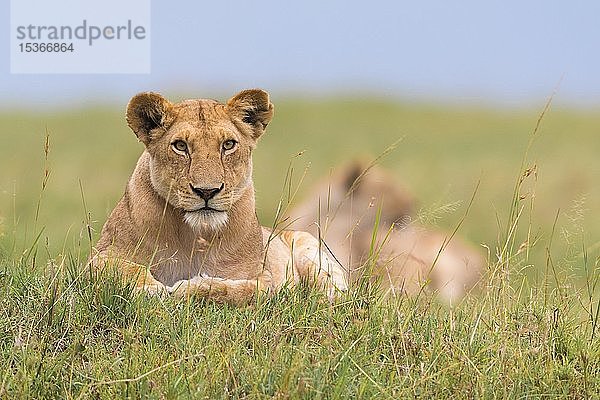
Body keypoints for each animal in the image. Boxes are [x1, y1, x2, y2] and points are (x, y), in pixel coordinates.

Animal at [92, 90, 346, 304]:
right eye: (180, 146)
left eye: (228, 144)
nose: (207, 191)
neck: (194, 237)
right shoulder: (98, 258)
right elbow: (123, 269)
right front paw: (150, 289)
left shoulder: (263, 277)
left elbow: (237, 290)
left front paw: (188, 287)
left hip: (309, 247)